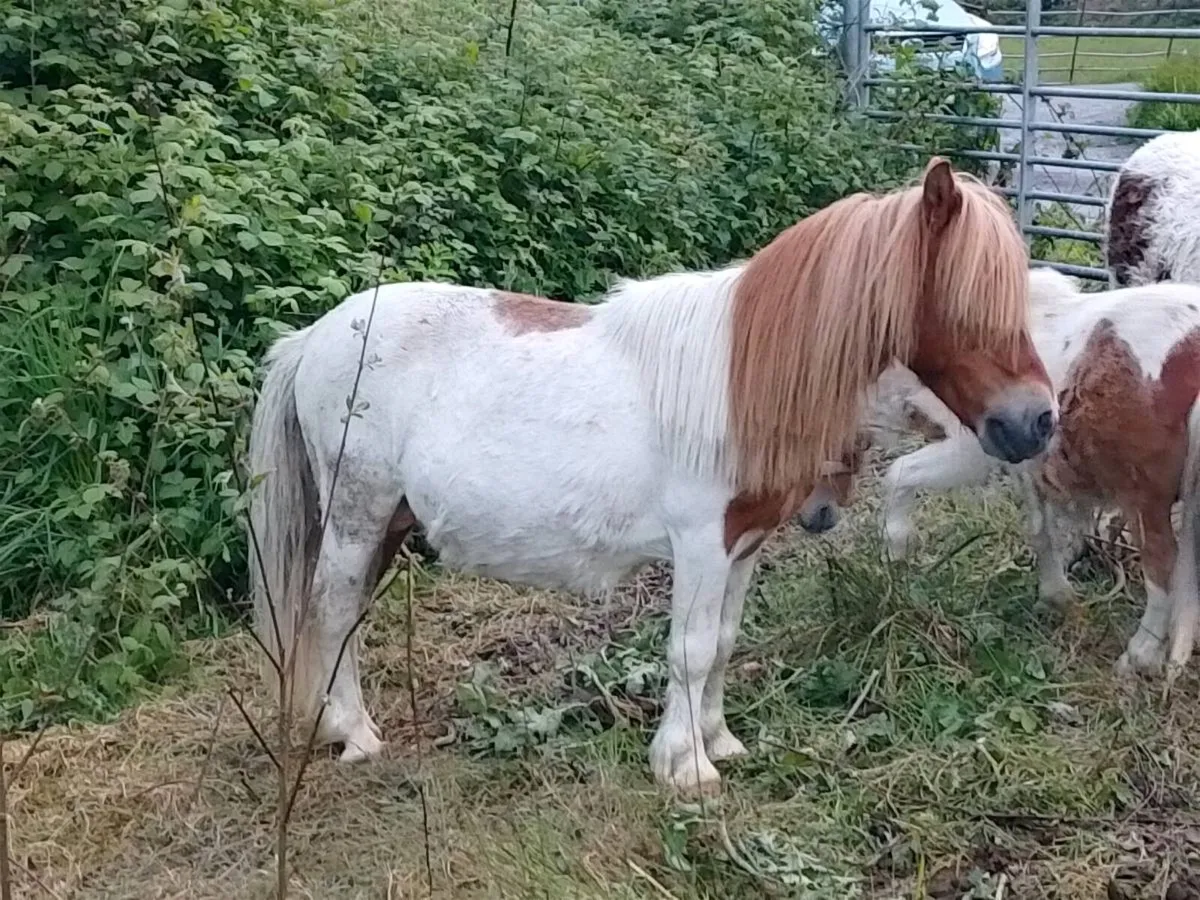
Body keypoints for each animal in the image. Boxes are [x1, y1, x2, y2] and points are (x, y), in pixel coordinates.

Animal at [246, 157, 1055, 795]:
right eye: (968, 302)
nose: (1037, 421)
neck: (743, 378)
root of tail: (314, 336)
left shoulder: (742, 545)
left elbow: (722, 641)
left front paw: (719, 739)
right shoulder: (699, 544)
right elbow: (689, 650)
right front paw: (684, 767)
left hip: (386, 522)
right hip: (357, 513)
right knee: (333, 609)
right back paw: (355, 734)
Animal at [879, 267, 1200, 684]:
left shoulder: (974, 449)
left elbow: (900, 473)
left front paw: (895, 548)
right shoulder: (1025, 458)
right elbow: (1038, 527)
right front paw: (1056, 593)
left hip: (1143, 494)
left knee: (1161, 562)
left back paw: (1140, 654)